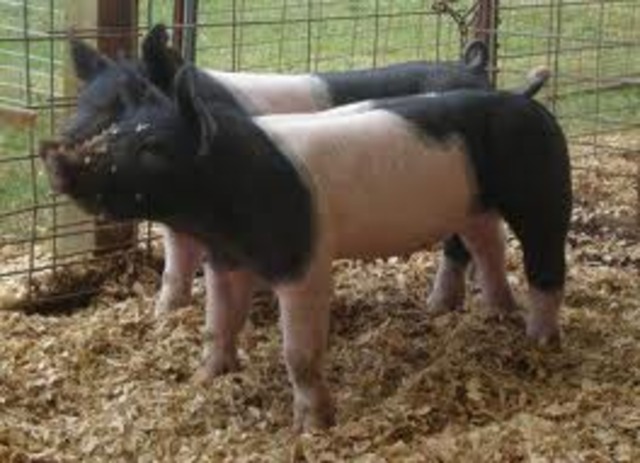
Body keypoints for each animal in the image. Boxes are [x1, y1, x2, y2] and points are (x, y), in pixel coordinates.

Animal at [40, 64, 571, 431]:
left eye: (154, 149)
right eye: (114, 131)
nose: (53, 155)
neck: (229, 199)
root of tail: (525, 100)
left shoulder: (304, 262)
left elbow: (298, 353)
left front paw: (312, 427)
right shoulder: (225, 259)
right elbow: (217, 325)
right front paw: (206, 378)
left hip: (544, 190)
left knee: (546, 266)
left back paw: (538, 340)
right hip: (475, 206)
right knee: (488, 246)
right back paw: (491, 314)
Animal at [65, 23, 490, 316]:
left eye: (128, 104)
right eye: (83, 99)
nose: (65, 138)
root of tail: (474, 71)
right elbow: (174, 271)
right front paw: (164, 316)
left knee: (459, 245)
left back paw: (438, 305)